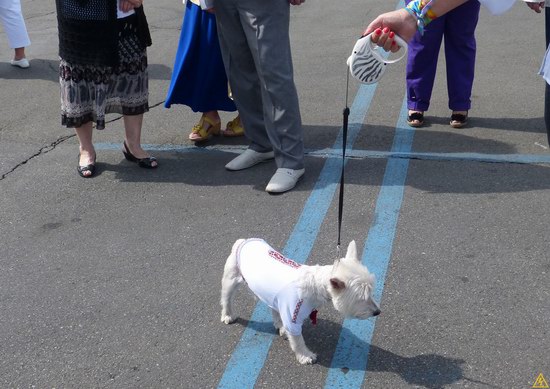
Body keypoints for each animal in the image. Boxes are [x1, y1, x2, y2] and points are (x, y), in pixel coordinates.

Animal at [222, 236, 382, 364]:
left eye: (371, 292)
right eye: (361, 297)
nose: (377, 312)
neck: (316, 286)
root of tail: (244, 241)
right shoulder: (292, 316)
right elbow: (298, 340)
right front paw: (306, 356)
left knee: (274, 309)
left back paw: (280, 326)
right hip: (231, 278)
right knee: (226, 298)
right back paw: (228, 315)